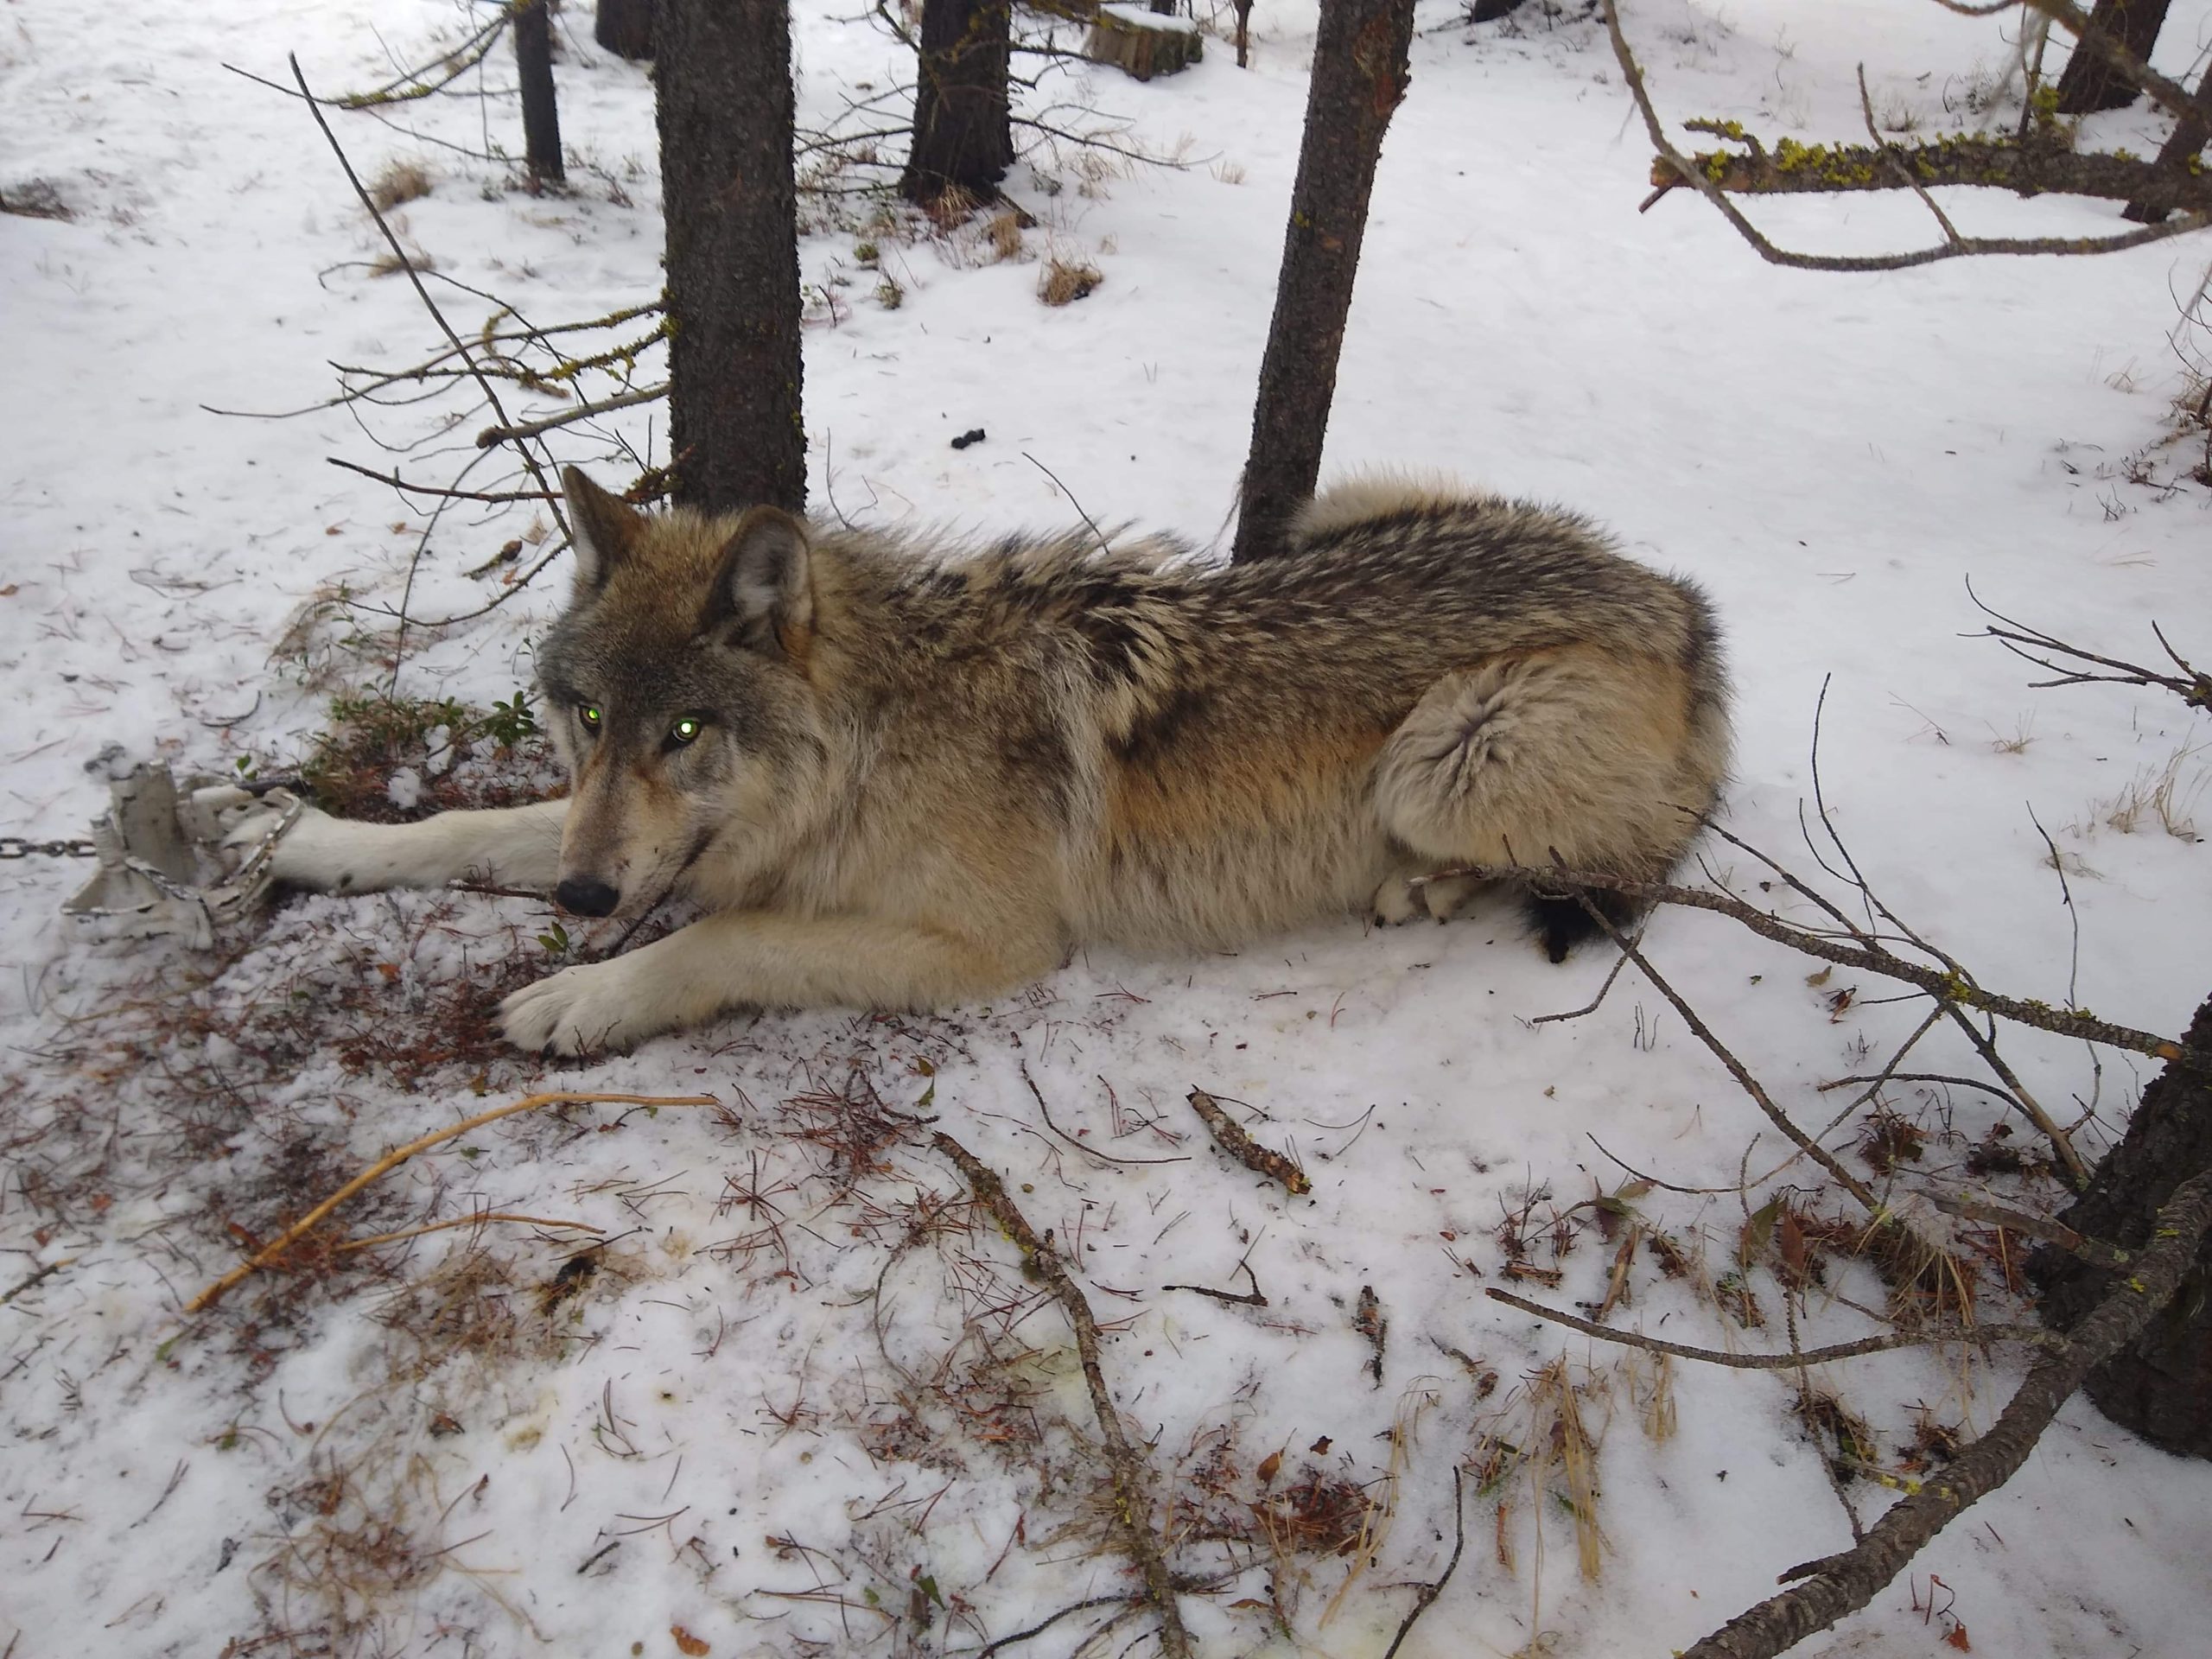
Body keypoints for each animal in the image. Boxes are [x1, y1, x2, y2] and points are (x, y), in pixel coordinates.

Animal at [231, 468, 1730, 1055]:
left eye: (686, 734)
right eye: (591, 721)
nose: (584, 904)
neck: (871, 741)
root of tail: (1678, 600)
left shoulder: (990, 949)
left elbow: (724, 940)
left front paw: (584, 1000)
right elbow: (469, 831)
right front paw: (303, 840)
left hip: (1447, 754)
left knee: (1617, 860)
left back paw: (1421, 889)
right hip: (1326, 513)